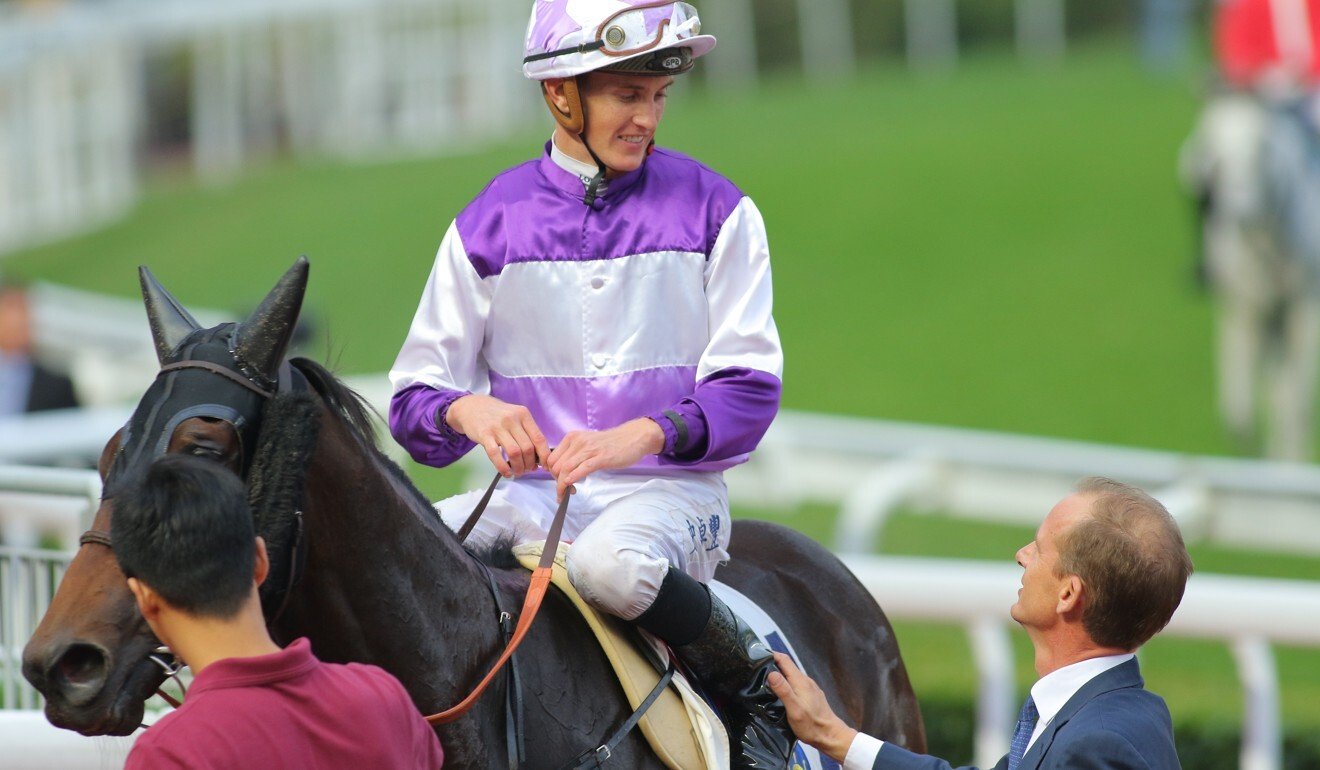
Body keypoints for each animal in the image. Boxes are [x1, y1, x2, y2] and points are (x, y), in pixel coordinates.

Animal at [1182, 90, 1320, 464]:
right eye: (1211, 150)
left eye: (1261, 151)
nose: (1231, 211)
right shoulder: (1245, 310)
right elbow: (1240, 413)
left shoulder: (1304, 310)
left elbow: (1295, 403)